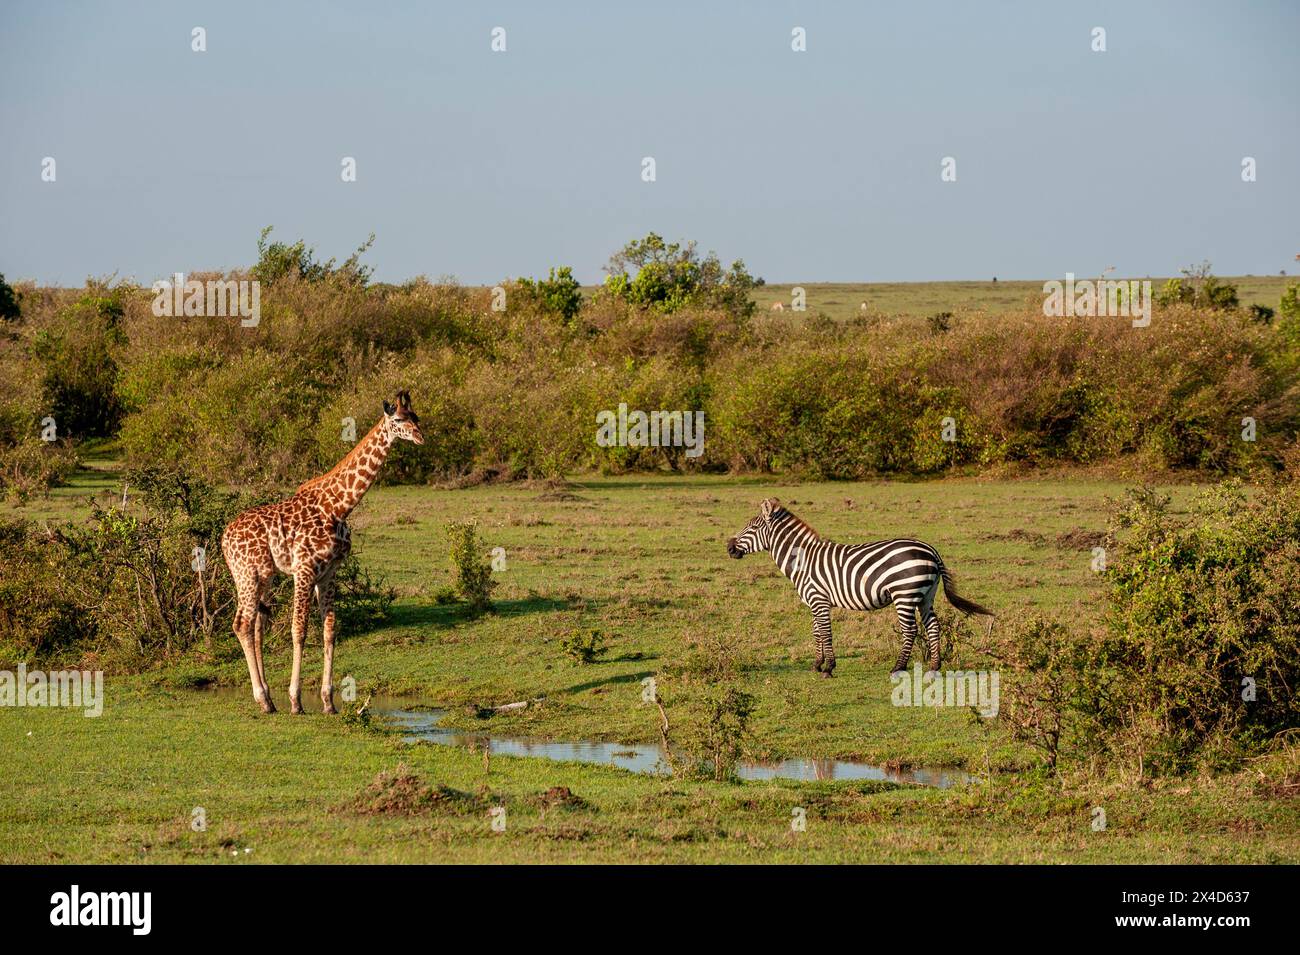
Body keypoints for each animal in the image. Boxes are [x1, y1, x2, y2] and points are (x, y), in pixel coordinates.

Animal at [220, 391, 424, 714]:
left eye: (416, 417)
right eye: (398, 419)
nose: (420, 437)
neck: (338, 506)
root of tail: (223, 537)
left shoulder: (329, 572)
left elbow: (329, 630)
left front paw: (328, 702)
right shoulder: (303, 570)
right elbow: (299, 630)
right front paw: (296, 701)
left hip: (264, 575)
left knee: (256, 624)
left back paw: (269, 699)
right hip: (247, 574)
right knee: (242, 623)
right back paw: (263, 699)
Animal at [726, 498, 992, 676]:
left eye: (751, 527)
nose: (729, 548)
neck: (802, 559)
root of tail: (932, 551)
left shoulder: (819, 599)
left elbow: (825, 632)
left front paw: (829, 667)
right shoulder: (813, 601)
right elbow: (816, 632)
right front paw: (817, 664)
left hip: (904, 594)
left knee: (910, 630)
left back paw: (898, 668)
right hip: (926, 595)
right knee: (933, 626)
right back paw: (935, 666)